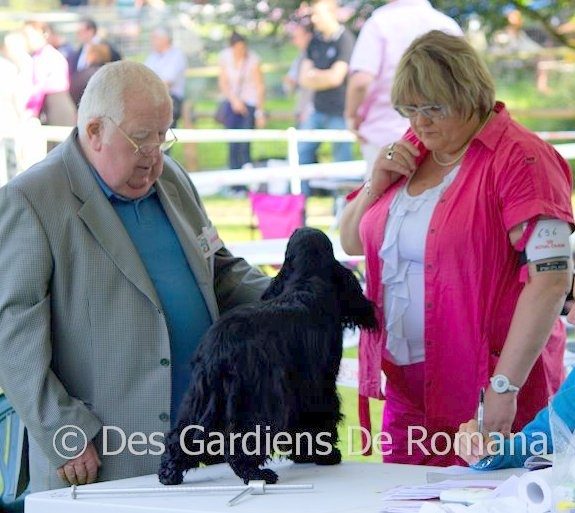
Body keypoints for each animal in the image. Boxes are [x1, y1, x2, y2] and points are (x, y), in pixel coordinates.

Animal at [158, 227, 377, 485]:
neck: (306, 281)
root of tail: (219, 347)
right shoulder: (318, 384)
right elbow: (316, 421)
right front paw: (326, 455)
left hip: (200, 397)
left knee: (181, 436)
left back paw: (169, 473)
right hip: (255, 398)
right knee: (240, 444)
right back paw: (257, 473)